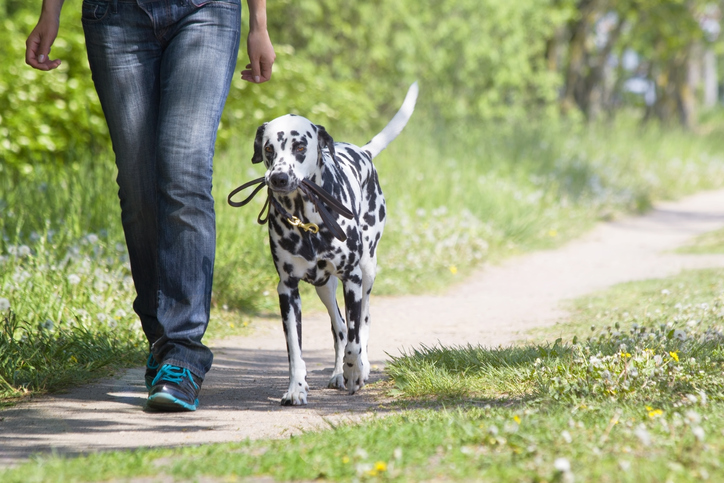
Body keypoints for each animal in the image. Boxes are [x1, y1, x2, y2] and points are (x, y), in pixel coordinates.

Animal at [249, 82, 418, 404]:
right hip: (324, 286)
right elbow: (295, 350)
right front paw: (296, 388)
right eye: (268, 149)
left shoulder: (352, 279)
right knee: (339, 326)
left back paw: (358, 368)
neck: (306, 220)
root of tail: (362, 151)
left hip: (367, 272)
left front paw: (356, 372)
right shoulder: (287, 290)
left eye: (299, 147)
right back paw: (339, 372)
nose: (278, 178)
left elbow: (354, 339)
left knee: (361, 324)